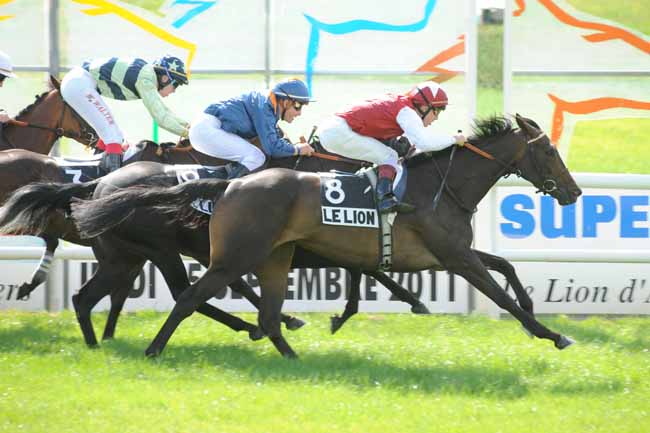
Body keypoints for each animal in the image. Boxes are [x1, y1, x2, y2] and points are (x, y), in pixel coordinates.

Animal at [69, 114, 583, 358]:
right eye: (549, 152)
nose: (574, 192)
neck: (439, 185)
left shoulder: (450, 253)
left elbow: (506, 267)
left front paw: (536, 312)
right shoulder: (453, 257)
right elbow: (500, 295)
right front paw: (550, 333)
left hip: (153, 256)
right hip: (194, 254)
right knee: (187, 295)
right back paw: (154, 346)